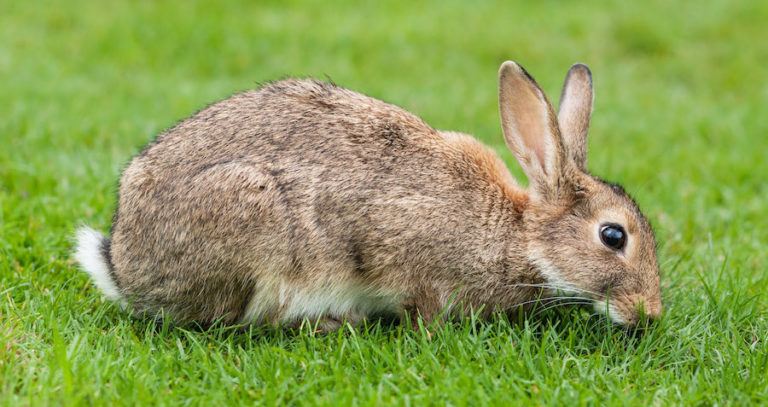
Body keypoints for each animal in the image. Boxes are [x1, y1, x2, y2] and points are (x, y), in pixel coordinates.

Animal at [74, 61, 662, 330]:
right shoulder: (404, 250)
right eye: (613, 236)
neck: (520, 235)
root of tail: (123, 266)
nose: (650, 313)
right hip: (252, 226)